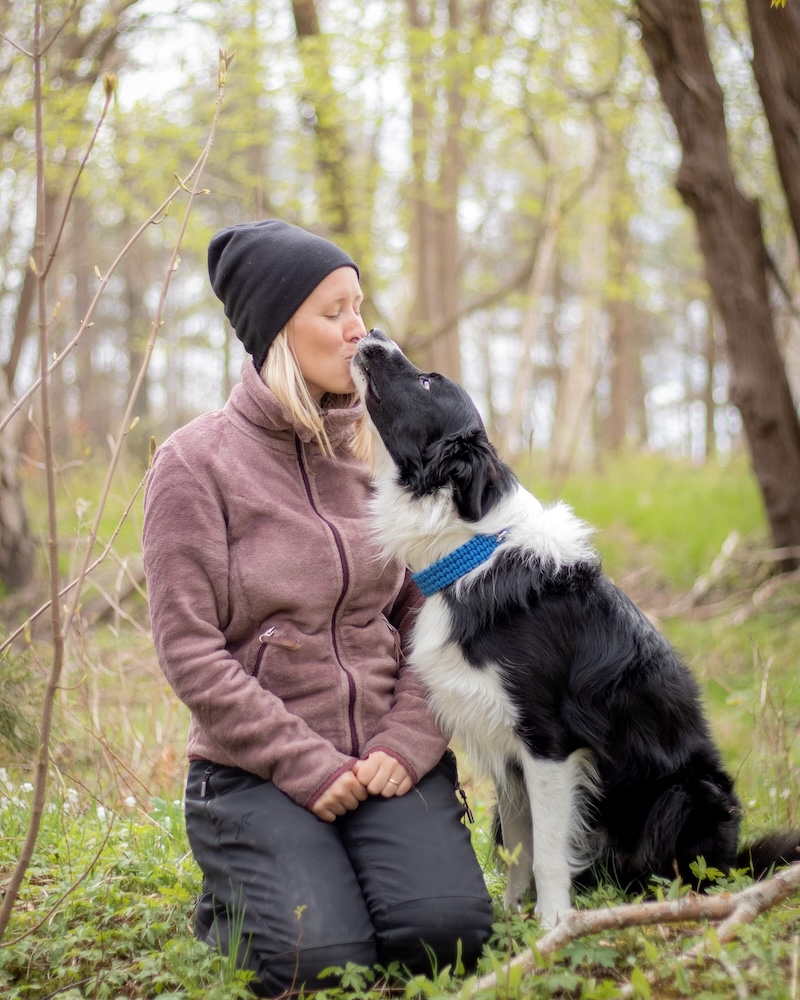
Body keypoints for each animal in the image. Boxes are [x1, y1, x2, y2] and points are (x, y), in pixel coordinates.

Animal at [352, 330, 800, 928]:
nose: (372, 334)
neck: (472, 553)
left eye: (426, 382)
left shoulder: (549, 743)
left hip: (685, 795)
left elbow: (546, 852)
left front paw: (552, 927)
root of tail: (737, 857)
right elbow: (520, 847)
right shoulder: (507, 749)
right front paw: (514, 925)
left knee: (681, 871)